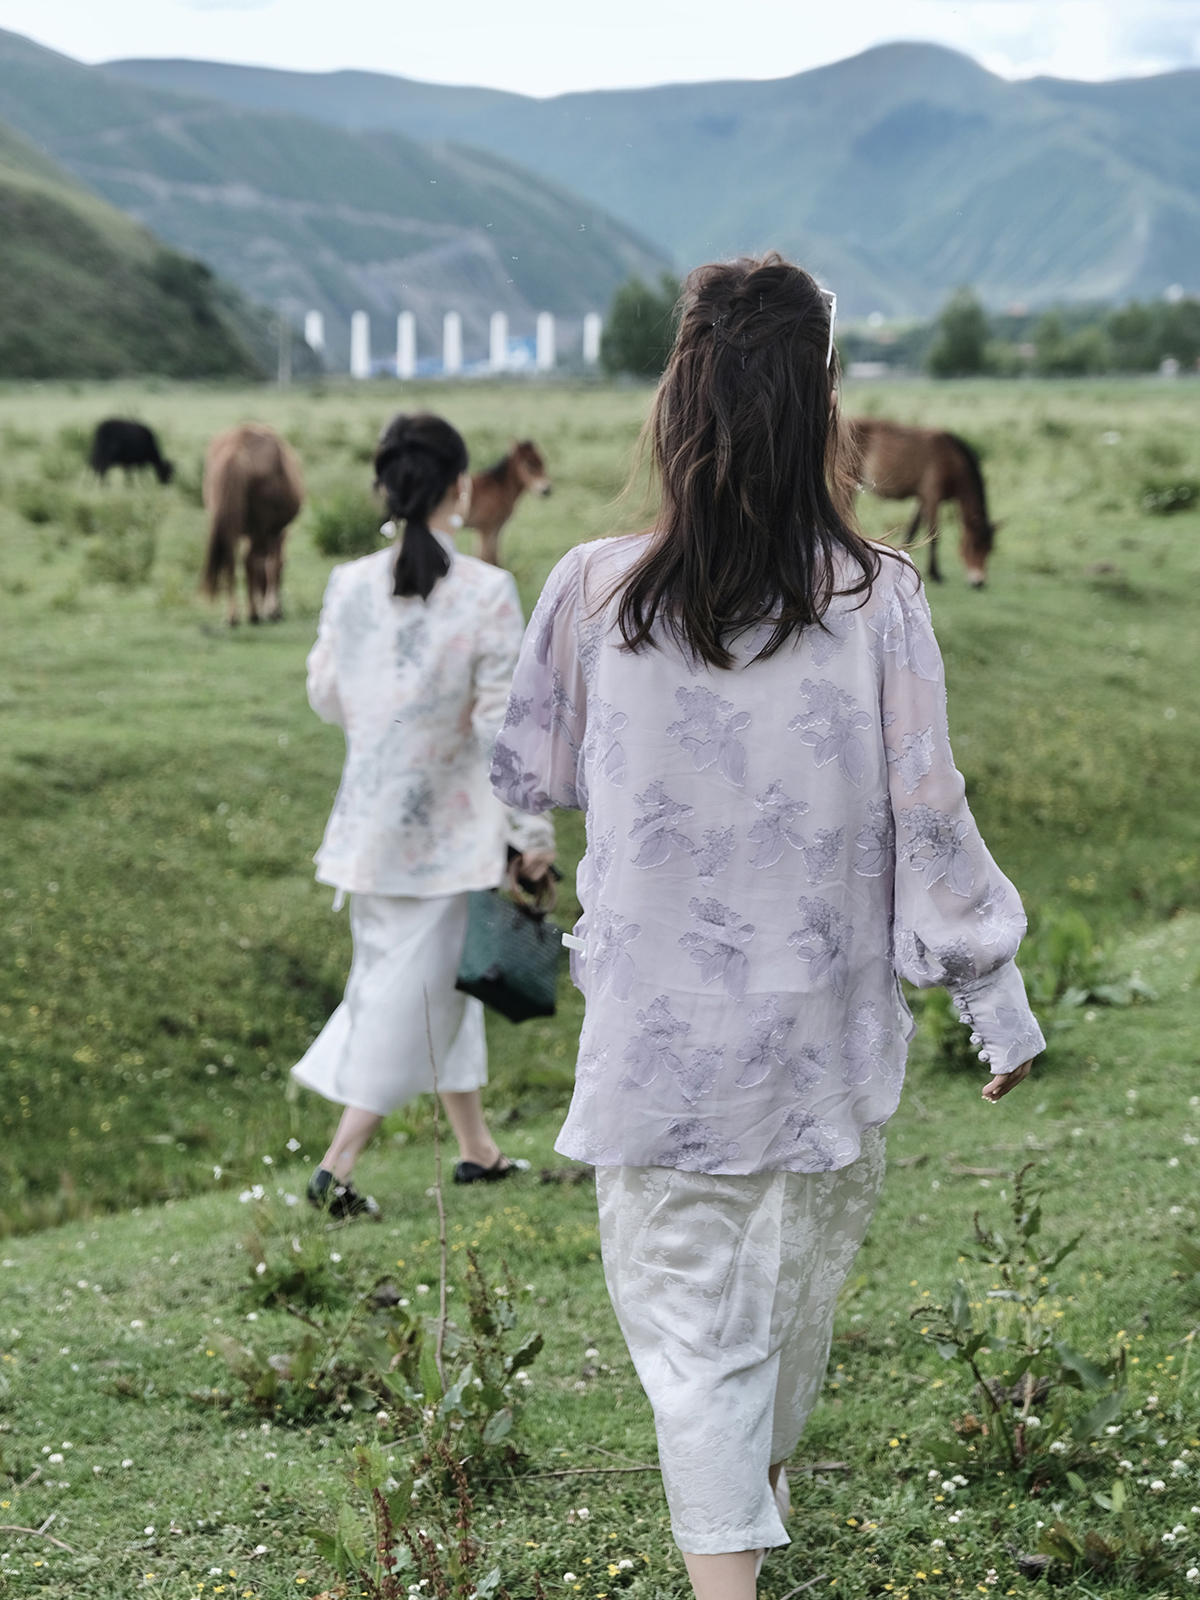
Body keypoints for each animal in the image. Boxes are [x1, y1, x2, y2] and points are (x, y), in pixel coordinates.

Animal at [202, 424, 304, 625]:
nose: (280, 612)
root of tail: (237, 447)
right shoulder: (273, 532)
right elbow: (271, 565)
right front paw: (271, 610)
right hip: (259, 530)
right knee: (249, 561)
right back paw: (253, 613)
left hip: (229, 527)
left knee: (230, 561)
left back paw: (232, 616)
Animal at [845, 417, 996, 587]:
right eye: (973, 546)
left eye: (989, 549)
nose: (979, 582)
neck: (952, 458)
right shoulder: (932, 496)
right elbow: (933, 533)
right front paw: (935, 573)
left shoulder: (922, 499)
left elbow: (913, 529)